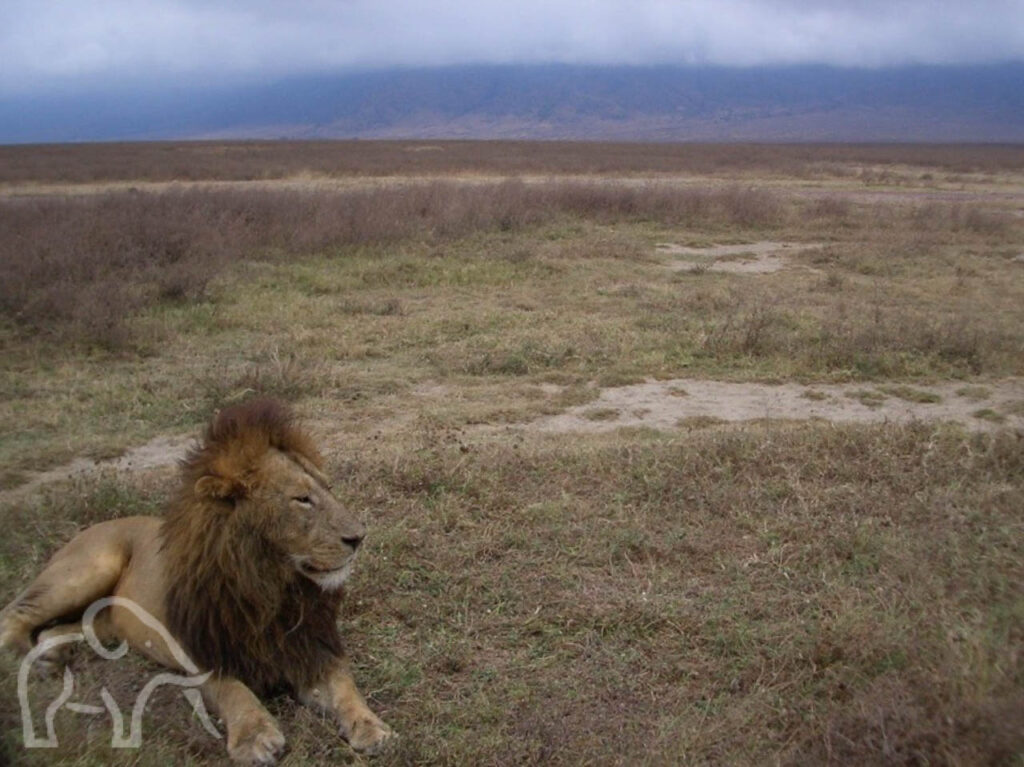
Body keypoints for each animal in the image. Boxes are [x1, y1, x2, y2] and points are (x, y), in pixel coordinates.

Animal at [0, 397, 393, 761]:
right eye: (302, 499)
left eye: (328, 489)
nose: (359, 537)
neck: (270, 588)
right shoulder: (201, 653)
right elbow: (232, 690)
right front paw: (255, 736)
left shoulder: (310, 649)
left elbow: (345, 686)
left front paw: (371, 727)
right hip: (88, 569)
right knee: (14, 614)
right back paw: (23, 659)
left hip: (109, 619)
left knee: (62, 628)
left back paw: (53, 655)